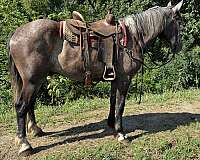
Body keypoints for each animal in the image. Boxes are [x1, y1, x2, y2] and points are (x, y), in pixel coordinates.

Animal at [7, 0, 183, 156]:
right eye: (178, 21)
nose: (179, 46)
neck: (131, 37)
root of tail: (15, 34)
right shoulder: (124, 79)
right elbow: (120, 105)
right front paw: (121, 134)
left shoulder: (115, 78)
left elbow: (113, 101)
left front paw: (112, 124)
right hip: (32, 81)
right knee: (21, 106)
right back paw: (24, 144)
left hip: (36, 81)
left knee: (30, 104)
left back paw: (36, 130)